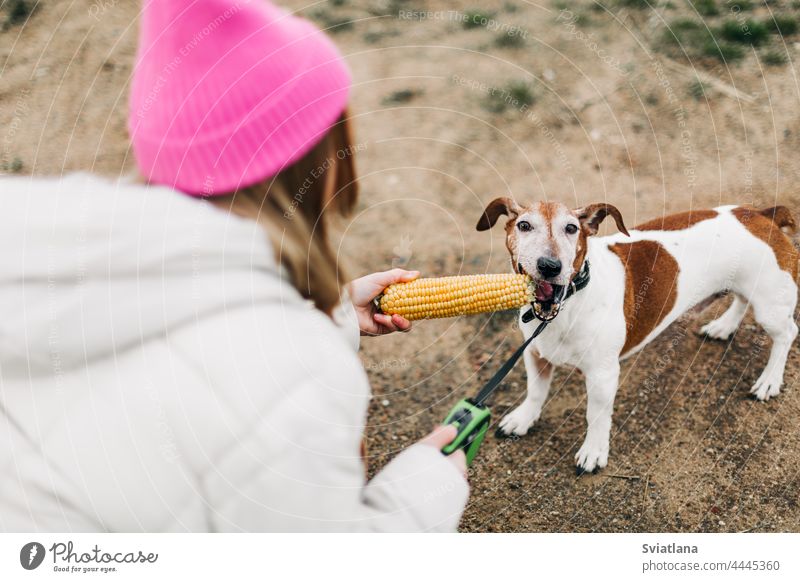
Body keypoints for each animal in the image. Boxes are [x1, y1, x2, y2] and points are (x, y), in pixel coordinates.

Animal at [478, 200, 796, 474]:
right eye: (524, 225)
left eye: (571, 228)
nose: (549, 265)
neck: (566, 305)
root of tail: (764, 216)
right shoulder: (535, 355)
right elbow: (535, 392)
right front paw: (523, 419)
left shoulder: (603, 376)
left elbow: (596, 416)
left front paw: (593, 452)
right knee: (741, 300)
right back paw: (724, 326)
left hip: (769, 305)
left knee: (787, 334)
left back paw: (769, 380)